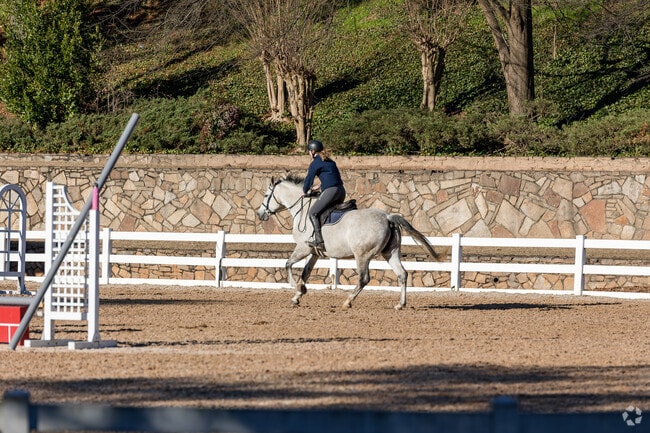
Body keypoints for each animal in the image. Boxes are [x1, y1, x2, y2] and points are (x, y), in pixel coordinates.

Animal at [256, 175, 438, 310]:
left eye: (265, 195)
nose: (259, 214)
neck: (303, 210)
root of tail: (387, 217)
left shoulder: (303, 248)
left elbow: (287, 264)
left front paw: (297, 287)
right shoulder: (314, 252)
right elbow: (305, 273)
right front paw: (298, 296)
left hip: (362, 255)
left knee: (364, 279)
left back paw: (348, 301)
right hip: (390, 253)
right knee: (402, 274)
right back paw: (400, 304)